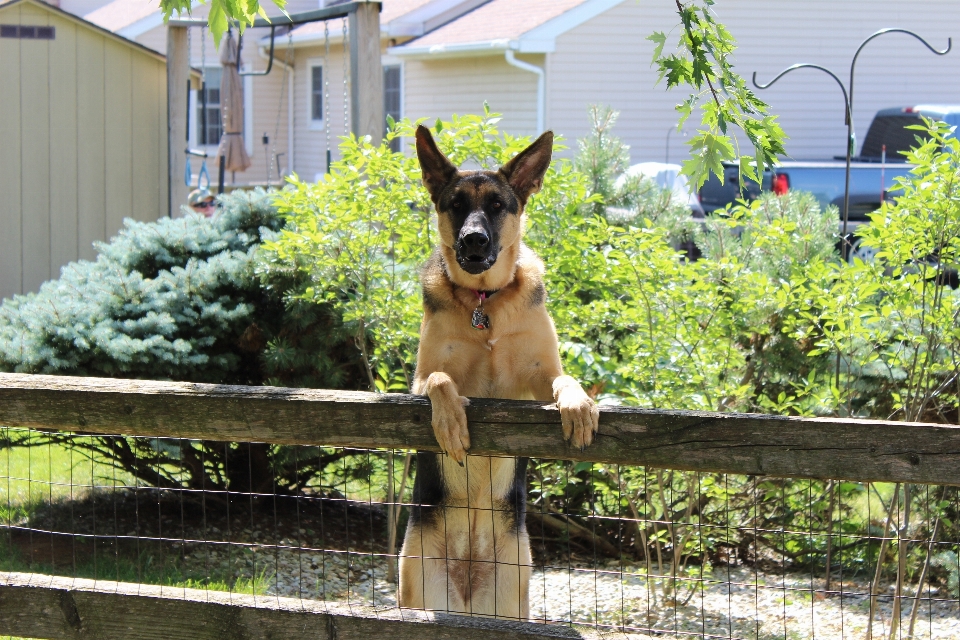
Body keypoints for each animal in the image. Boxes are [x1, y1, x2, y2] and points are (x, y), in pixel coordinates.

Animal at [400, 125, 600, 620]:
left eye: (495, 205)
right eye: (456, 204)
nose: (473, 240)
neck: (484, 303)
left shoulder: (537, 383)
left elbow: (564, 379)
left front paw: (578, 405)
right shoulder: (419, 380)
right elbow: (441, 380)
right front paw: (451, 422)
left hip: (512, 600)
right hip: (420, 592)